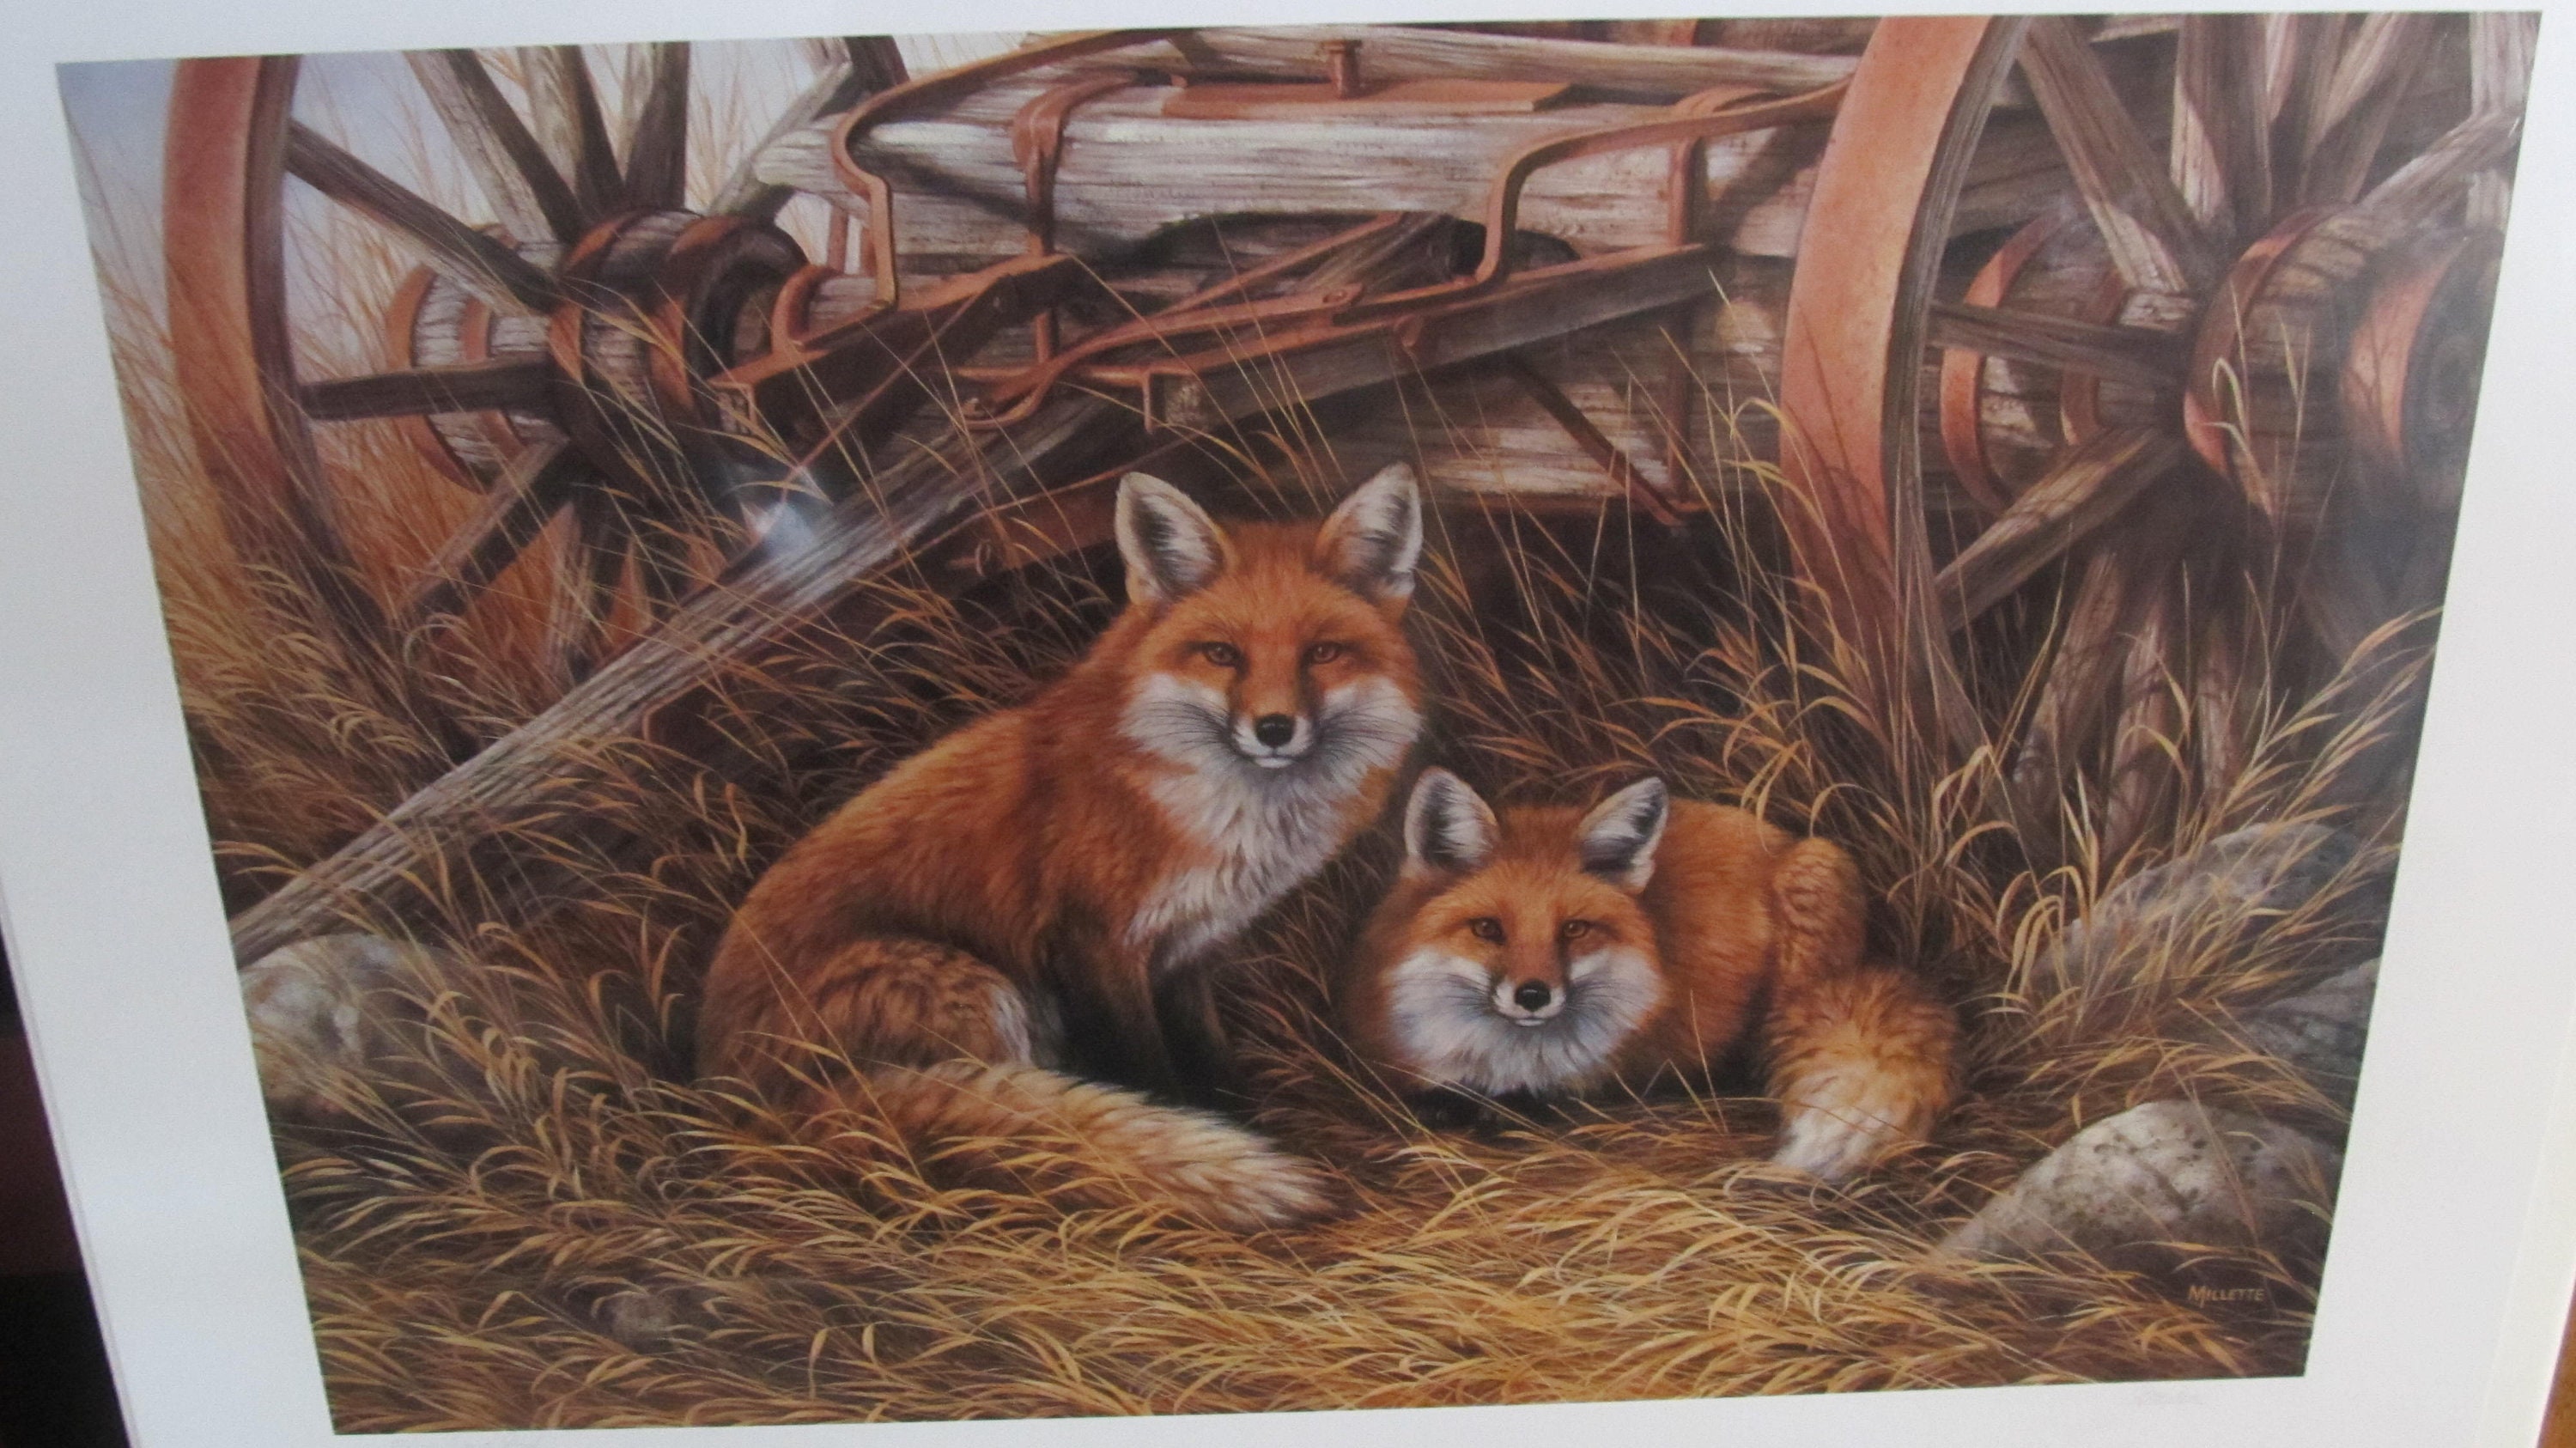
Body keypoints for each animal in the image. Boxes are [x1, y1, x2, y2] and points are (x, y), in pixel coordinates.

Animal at [697, 464, 1427, 1230]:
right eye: (1223, 654)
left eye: (1322, 653)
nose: (1276, 729)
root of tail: (731, 1106)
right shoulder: (1094, 943)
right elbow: (1151, 1073)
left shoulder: (1189, 950)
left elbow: (1210, 1057)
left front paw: (1242, 1118)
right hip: (976, 990)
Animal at [1341, 768, 1956, 1183]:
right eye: (1489, 929)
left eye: (1574, 929)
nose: (1534, 995)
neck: (1500, 1059)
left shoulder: (1598, 1076)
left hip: (1809, 898)